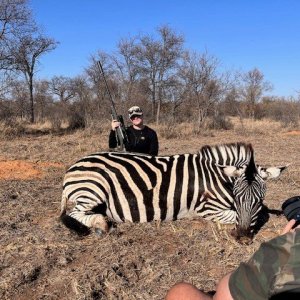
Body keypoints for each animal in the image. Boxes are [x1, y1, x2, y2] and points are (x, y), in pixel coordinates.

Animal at [59, 142, 288, 239]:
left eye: (259, 199)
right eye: (236, 196)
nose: (242, 238)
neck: (217, 177)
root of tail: (73, 166)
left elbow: (260, 213)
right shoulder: (207, 208)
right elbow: (239, 215)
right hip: (93, 188)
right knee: (73, 213)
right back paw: (101, 224)